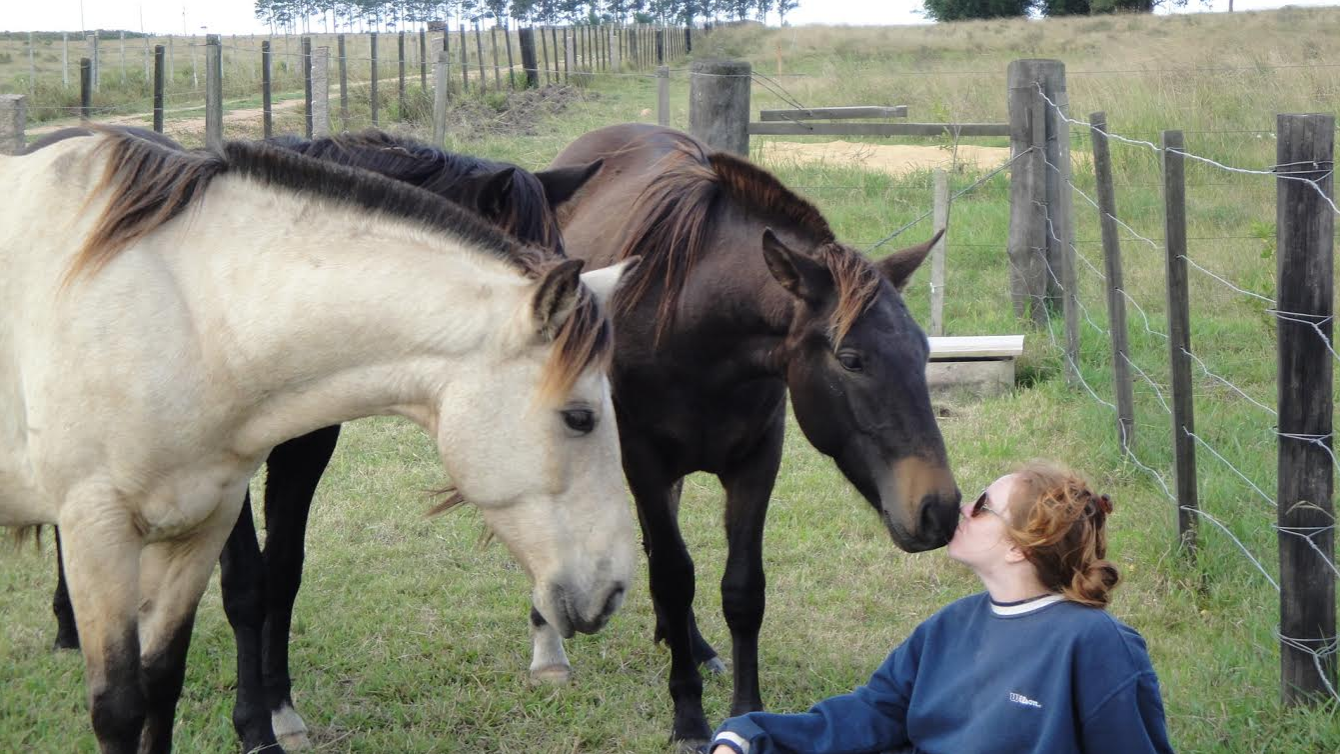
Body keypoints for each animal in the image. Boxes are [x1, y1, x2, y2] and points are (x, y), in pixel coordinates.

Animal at [0, 131, 635, 754]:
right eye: (580, 418)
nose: (612, 592)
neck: (199, 320)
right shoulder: (115, 522)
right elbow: (229, 604)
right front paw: (256, 728)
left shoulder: (245, 491)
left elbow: (262, 591)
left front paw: (279, 712)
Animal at [544, 123, 964, 744]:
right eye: (851, 359)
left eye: (924, 352)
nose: (939, 509)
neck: (692, 325)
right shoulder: (644, 461)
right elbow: (675, 576)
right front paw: (688, 715)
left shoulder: (757, 462)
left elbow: (742, 590)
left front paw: (744, 709)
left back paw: (688, 641)